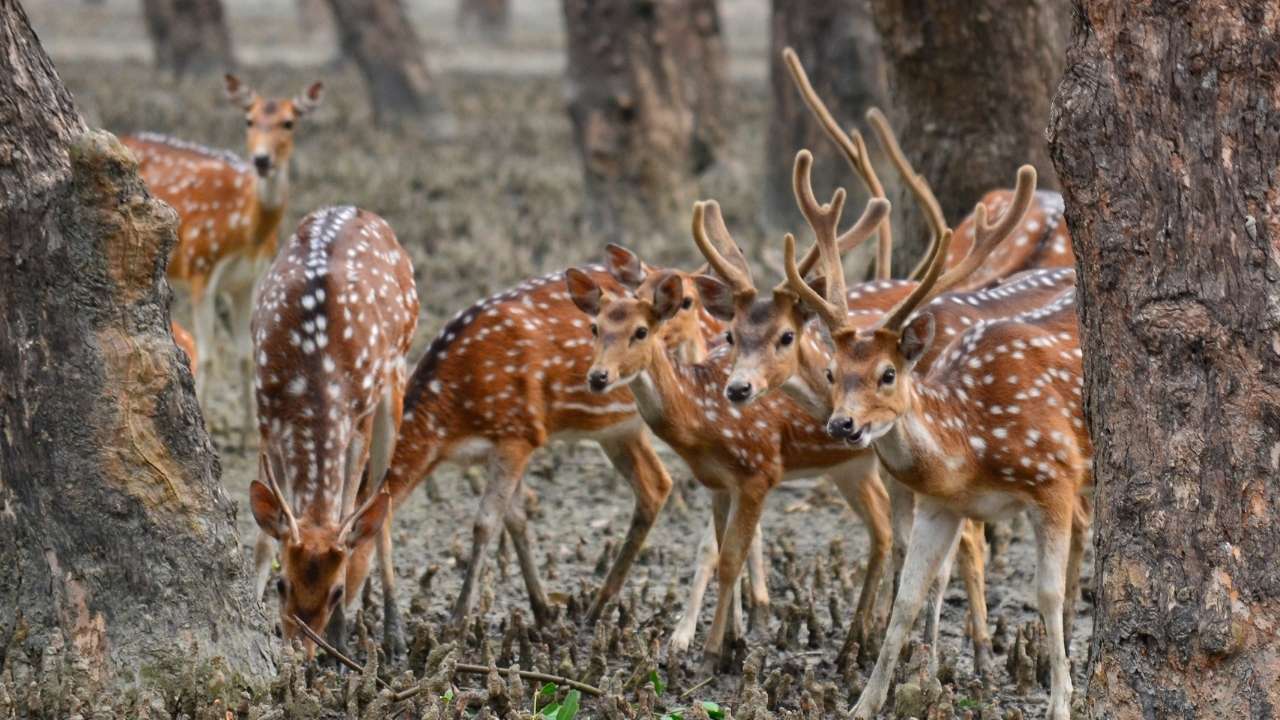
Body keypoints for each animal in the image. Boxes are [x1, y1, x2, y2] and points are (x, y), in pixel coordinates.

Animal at [123, 74, 325, 443]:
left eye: (289, 122)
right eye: (249, 120)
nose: (261, 160)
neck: (248, 233)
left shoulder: (249, 281)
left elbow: (246, 355)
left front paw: (248, 436)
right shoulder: (202, 267)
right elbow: (210, 356)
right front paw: (206, 423)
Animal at [241, 204, 417, 653]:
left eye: (336, 592)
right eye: (282, 585)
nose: (299, 650)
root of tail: (358, 209)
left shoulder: (358, 420)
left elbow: (345, 509)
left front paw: (338, 640)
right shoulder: (264, 417)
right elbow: (263, 539)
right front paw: (251, 606)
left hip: (395, 375)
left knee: (382, 500)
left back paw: (395, 634)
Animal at [788, 163, 1090, 717]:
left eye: (887, 374)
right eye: (833, 371)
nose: (842, 425)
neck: (972, 446)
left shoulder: (1054, 474)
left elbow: (1047, 593)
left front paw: (1060, 702)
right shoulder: (939, 505)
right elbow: (907, 600)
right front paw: (866, 702)